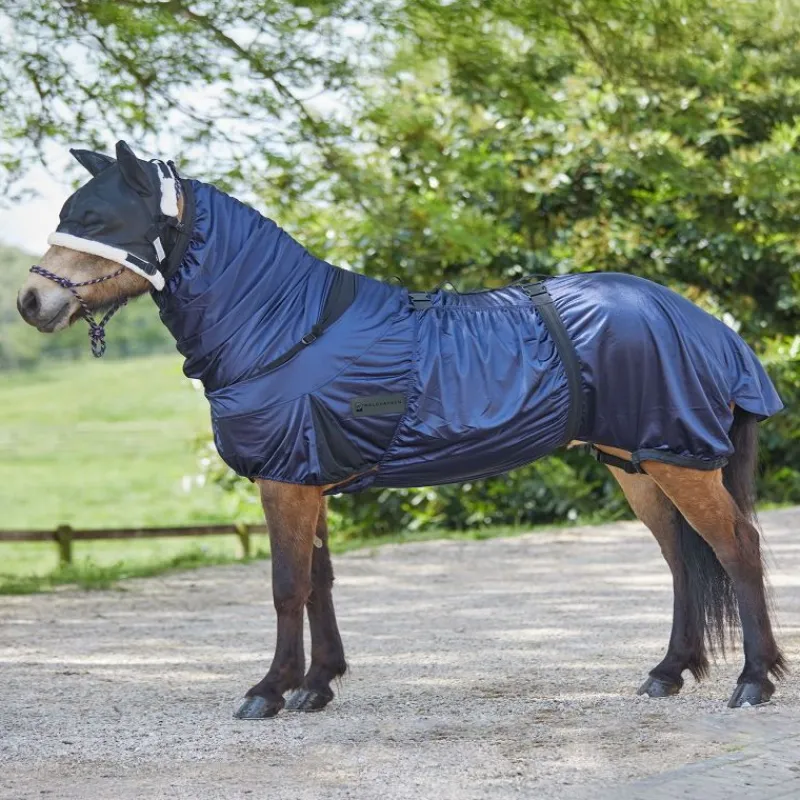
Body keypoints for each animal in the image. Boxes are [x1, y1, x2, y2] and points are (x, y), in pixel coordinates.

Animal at [16, 140, 786, 719]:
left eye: (98, 218)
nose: (30, 301)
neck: (287, 327)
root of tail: (707, 324)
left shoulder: (282, 481)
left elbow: (286, 585)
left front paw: (269, 691)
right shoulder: (306, 478)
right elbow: (319, 582)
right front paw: (317, 685)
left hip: (678, 459)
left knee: (737, 548)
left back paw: (754, 681)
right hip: (639, 464)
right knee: (682, 561)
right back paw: (668, 672)